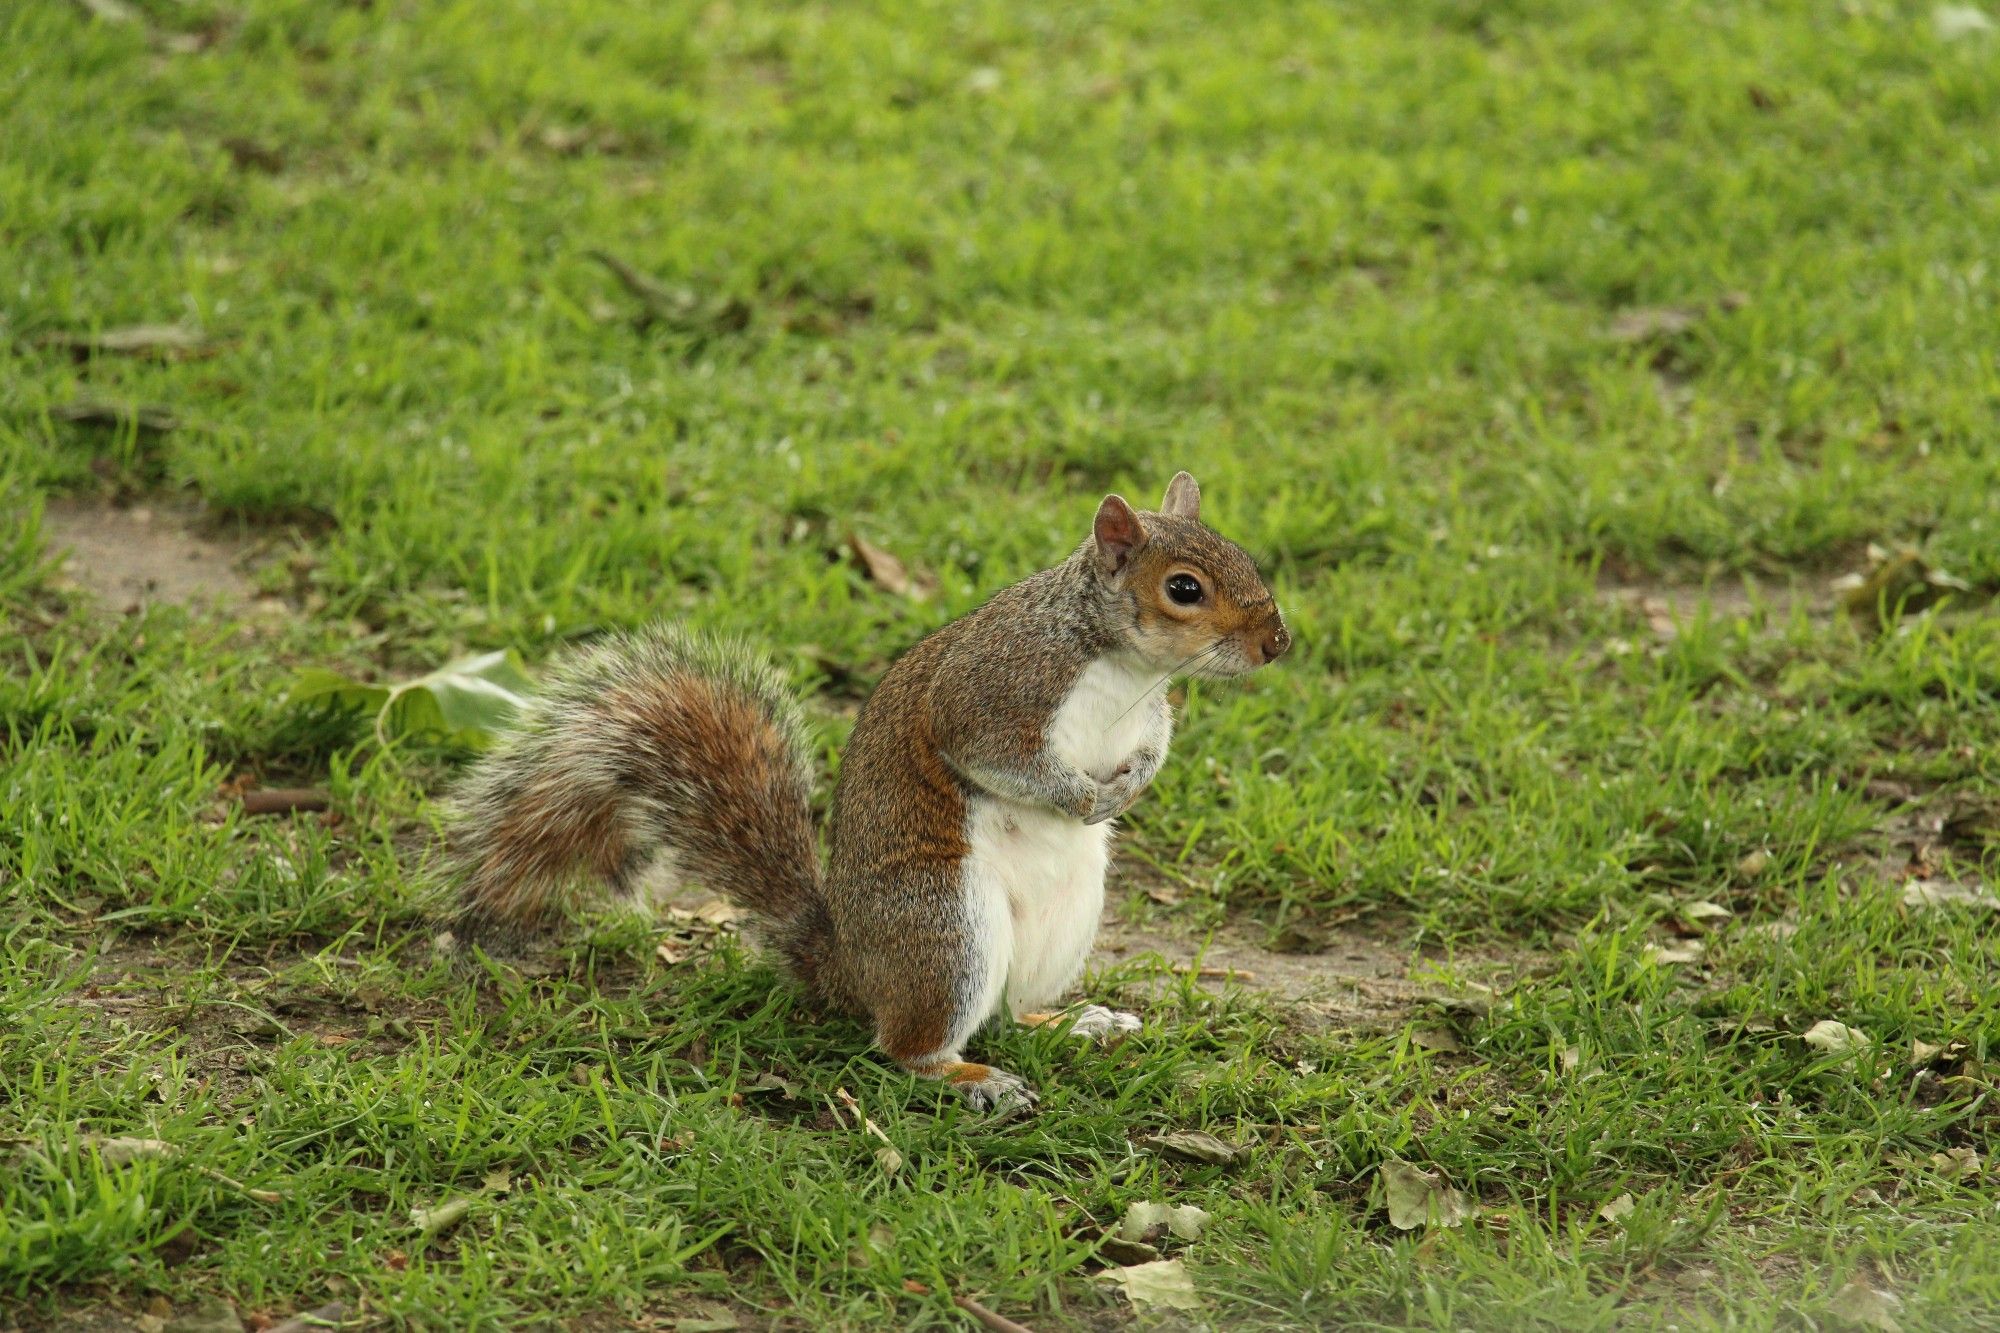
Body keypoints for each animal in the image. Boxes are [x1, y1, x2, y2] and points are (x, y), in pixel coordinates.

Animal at [444, 472, 1288, 1104]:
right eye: (1185, 588)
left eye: (1247, 557)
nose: (1278, 642)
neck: (1122, 665)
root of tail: (847, 967)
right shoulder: (990, 692)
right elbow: (993, 755)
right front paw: (1080, 797)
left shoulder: (1148, 717)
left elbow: (1152, 751)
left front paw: (1128, 788)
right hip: (944, 927)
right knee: (907, 1043)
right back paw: (972, 1077)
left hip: (1065, 924)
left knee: (1012, 1010)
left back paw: (1072, 1023)